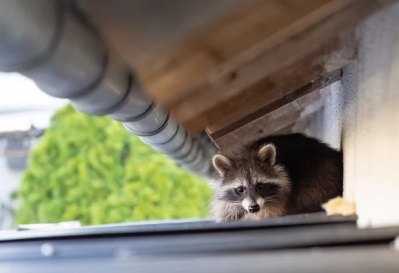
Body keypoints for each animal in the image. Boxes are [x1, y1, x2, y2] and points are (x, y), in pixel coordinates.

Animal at [212, 133, 344, 221]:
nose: (254, 208)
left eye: (260, 186)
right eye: (240, 189)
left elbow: (274, 210)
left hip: (321, 175)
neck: (247, 154)